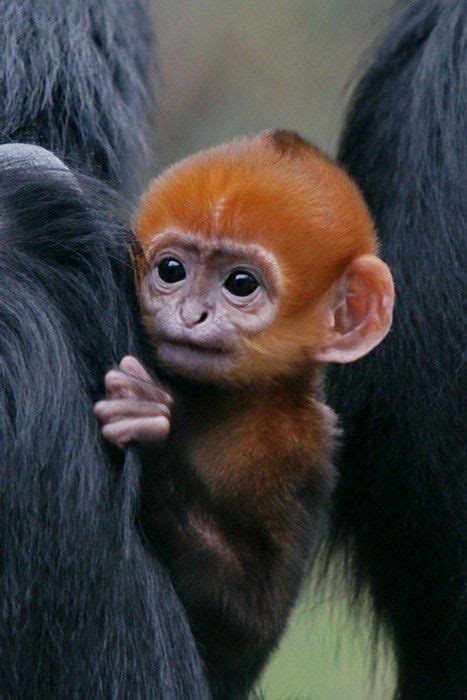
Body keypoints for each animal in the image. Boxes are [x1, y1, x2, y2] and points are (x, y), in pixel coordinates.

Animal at [93, 131, 394, 700]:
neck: (218, 403)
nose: (191, 315)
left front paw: (153, 440)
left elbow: (245, 631)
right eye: (171, 271)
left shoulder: (301, 451)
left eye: (240, 284)